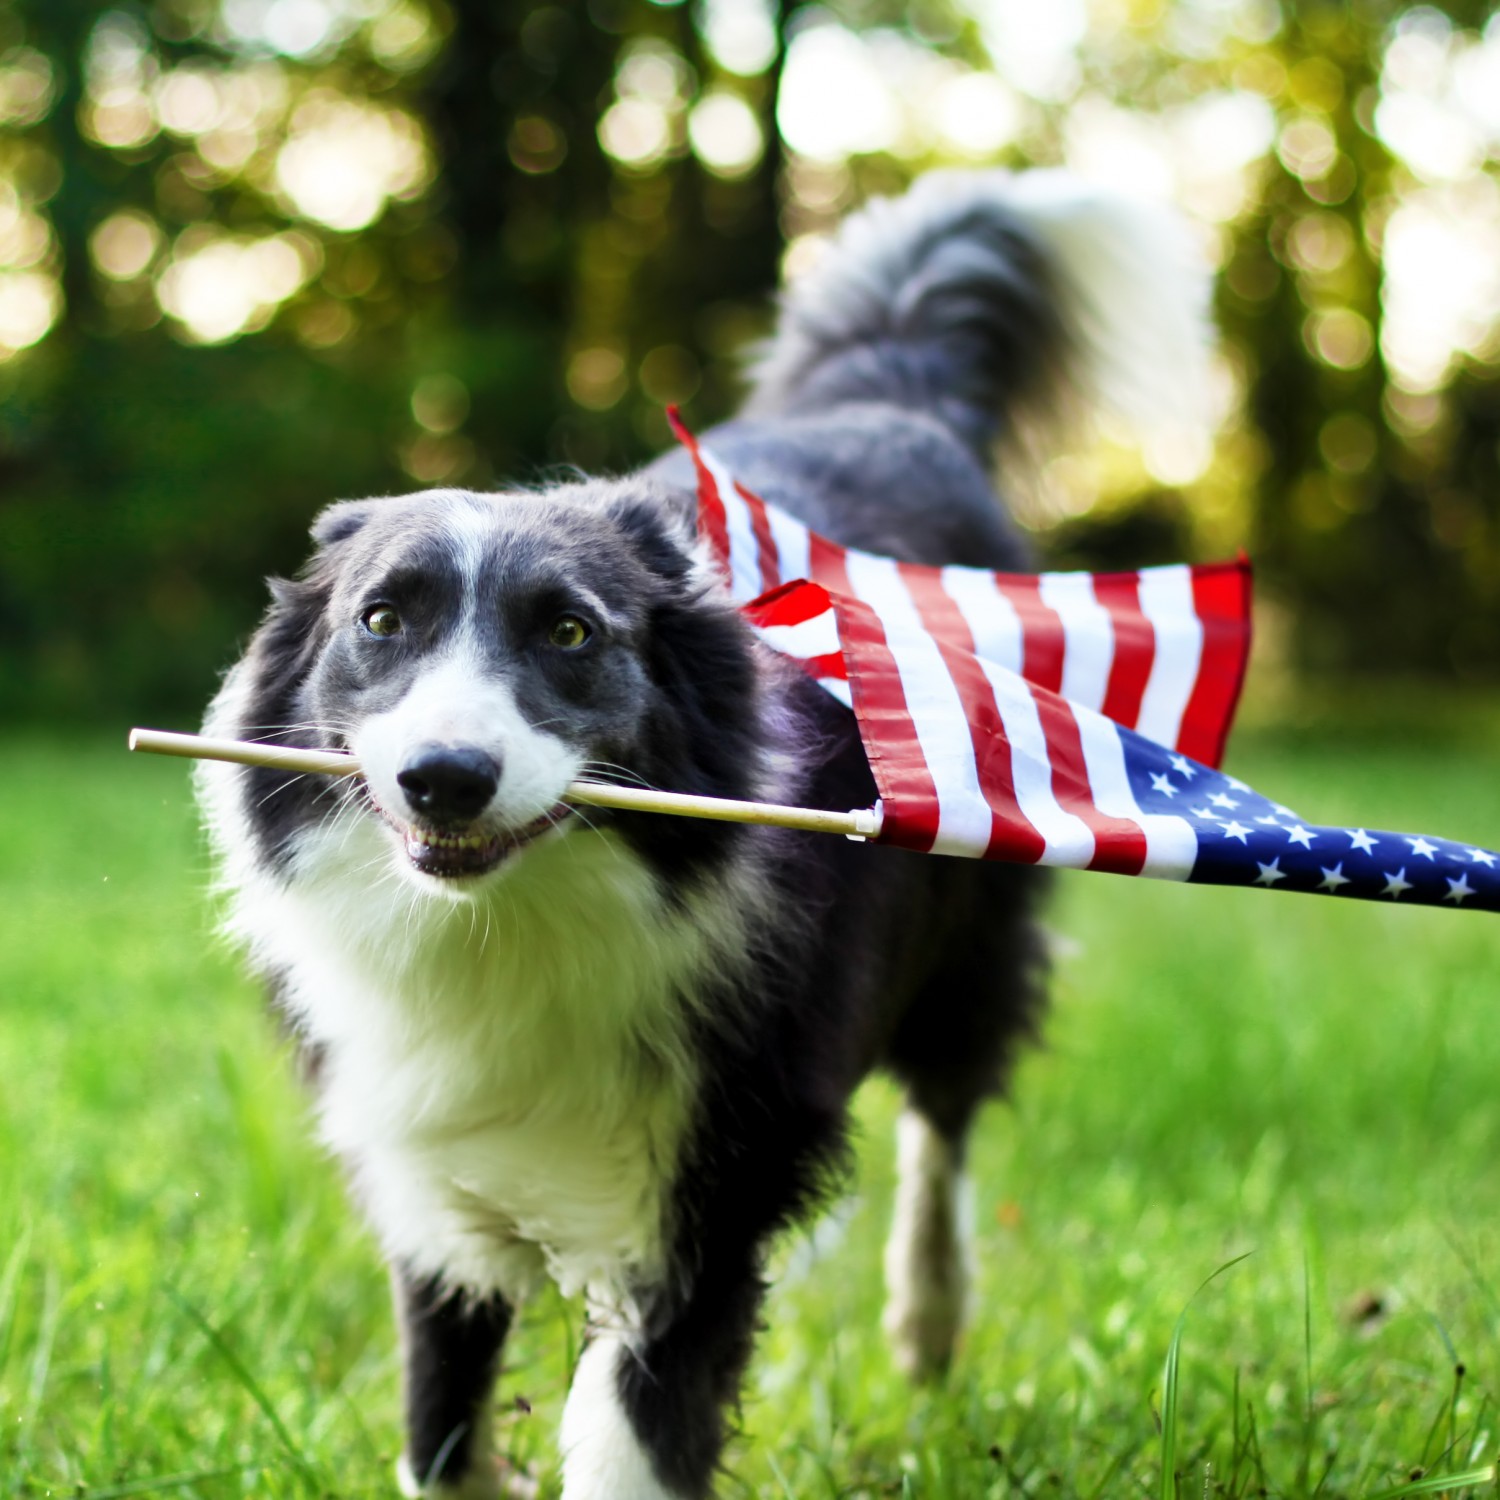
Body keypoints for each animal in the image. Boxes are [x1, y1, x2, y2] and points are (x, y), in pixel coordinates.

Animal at [199, 172, 1206, 1500]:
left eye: (571, 633)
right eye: (381, 620)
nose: (443, 782)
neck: (513, 924)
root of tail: (888, 397)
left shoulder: (708, 1187)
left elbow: (640, 1431)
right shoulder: (425, 1170)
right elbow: (441, 1426)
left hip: (974, 923)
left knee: (946, 1117)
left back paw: (928, 1323)